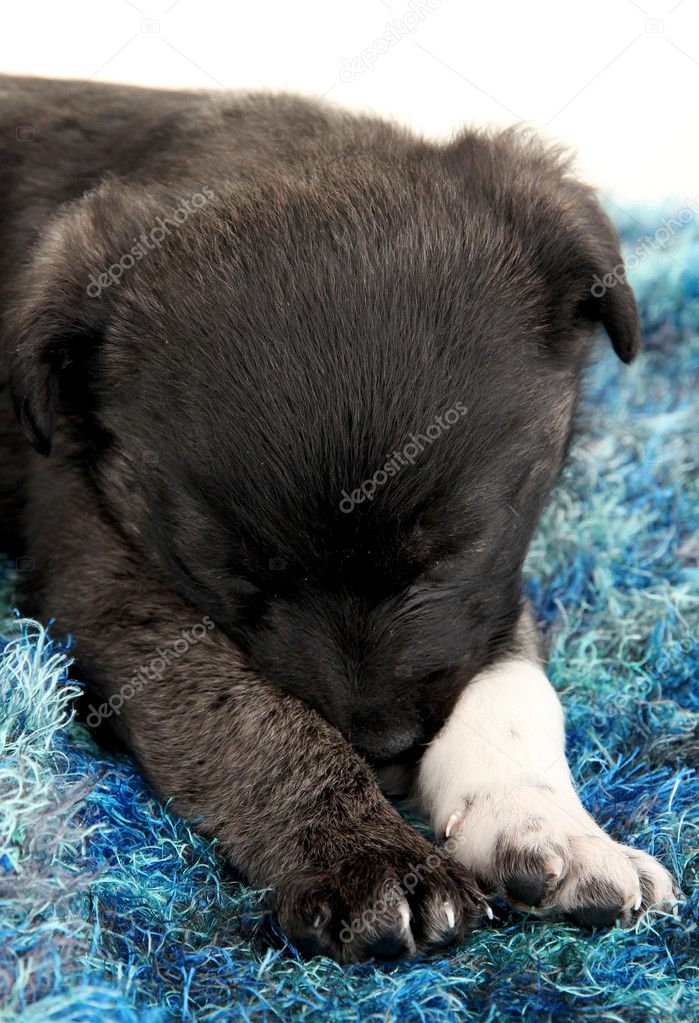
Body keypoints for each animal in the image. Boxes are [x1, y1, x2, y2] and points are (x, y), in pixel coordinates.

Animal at [1, 77, 679, 957]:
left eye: (453, 550)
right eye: (232, 574)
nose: (384, 753)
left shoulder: (489, 591)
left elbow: (514, 685)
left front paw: (546, 823)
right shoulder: (107, 567)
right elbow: (247, 712)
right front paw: (365, 853)